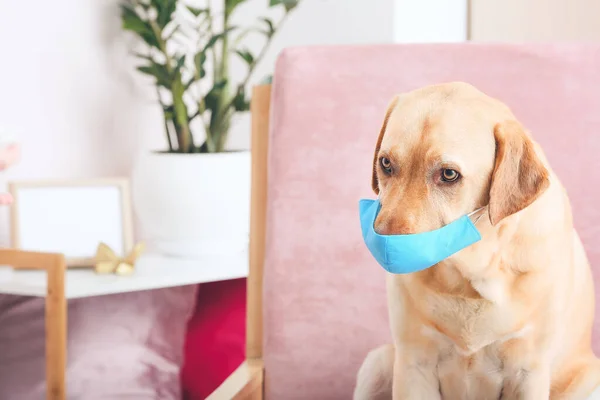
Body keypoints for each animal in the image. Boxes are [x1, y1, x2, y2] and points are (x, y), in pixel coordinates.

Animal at [352, 82, 600, 400]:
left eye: (448, 174)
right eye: (385, 163)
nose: (383, 245)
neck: (470, 276)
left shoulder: (528, 371)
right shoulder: (413, 363)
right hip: (379, 361)